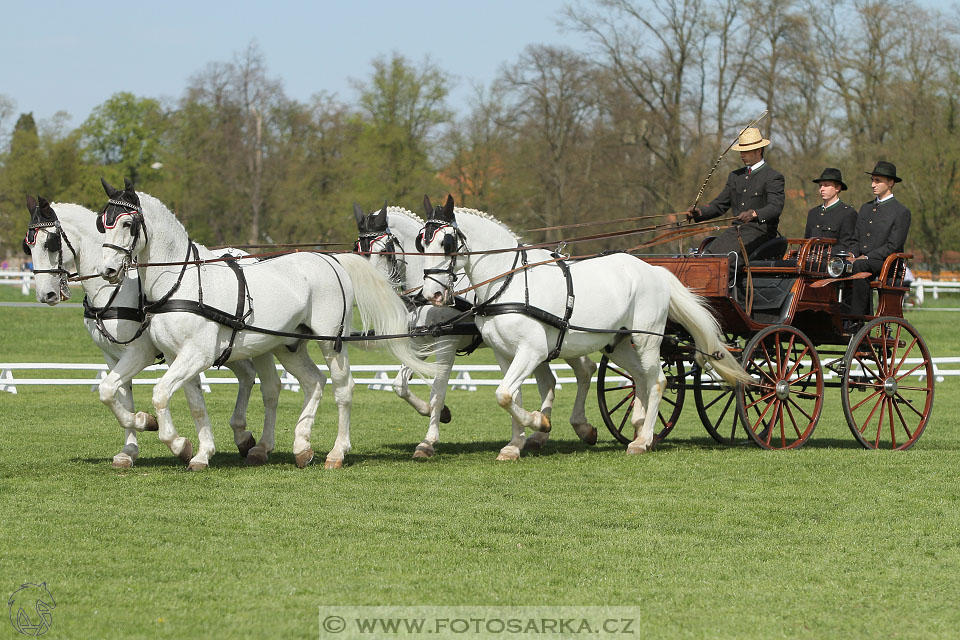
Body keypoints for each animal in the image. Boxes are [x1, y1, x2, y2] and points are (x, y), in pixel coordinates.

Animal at [24, 192, 272, 468]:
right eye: (28, 245)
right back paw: (243, 437)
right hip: (226, 348)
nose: (45, 295)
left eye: (50, 243)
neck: (114, 291)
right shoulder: (112, 356)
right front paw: (129, 450)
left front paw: (152, 425)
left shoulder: (139, 353)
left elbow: (107, 391)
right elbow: (119, 396)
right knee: (247, 375)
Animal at [94, 180, 436, 470]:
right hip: (289, 346)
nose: (108, 270)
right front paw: (192, 449)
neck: (182, 282)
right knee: (313, 382)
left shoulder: (196, 355)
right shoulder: (175, 357)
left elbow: (160, 394)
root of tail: (331, 260)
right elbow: (185, 404)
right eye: (102, 224)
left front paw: (175, 441)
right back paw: (302, 447)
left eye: (127, 224)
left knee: (343, 389)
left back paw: (337, 453)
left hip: (331, 343)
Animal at [352, 202, 600, 458]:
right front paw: (439, 413)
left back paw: (581, 428)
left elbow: (438, 391)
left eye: (385, 251)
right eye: (359, 250)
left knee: (585, 370)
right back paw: (540, 433)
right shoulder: (420, 343)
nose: (370, 293)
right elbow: (399, 386)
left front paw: (428, 441)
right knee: (552, 381)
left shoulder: (446, 344)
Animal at [420, 195, 752, 460]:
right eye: (421, 242)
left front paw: (540, 423)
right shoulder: (504, 354)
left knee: (657, 381)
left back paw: (642, 441)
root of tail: (654, 270)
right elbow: (511, 396)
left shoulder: (532, 351)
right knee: (640, 379)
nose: (431, 295)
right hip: (618, 344)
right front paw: (515, 445)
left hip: (646, 340)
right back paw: (638, 426)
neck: (509, 283)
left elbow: (503, 395)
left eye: (446, 242)